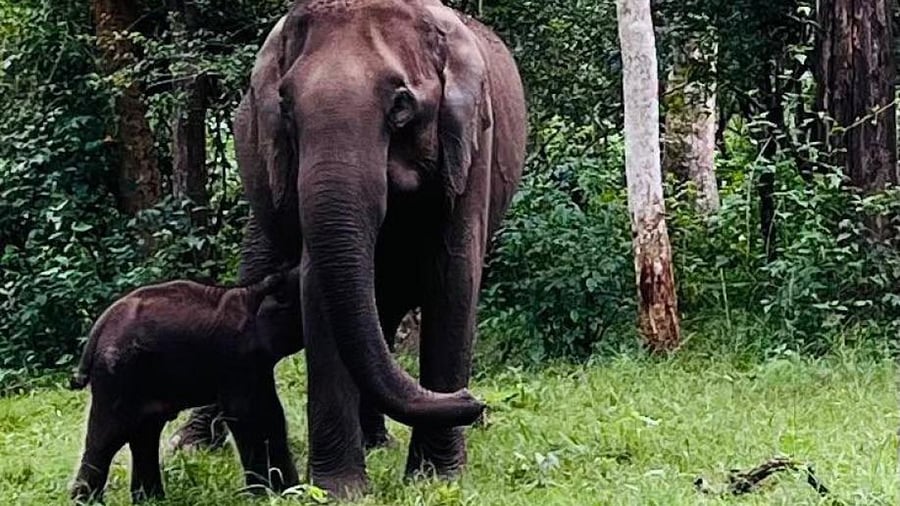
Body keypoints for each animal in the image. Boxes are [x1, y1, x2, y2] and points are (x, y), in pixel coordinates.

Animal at [69, 269, 302, 503]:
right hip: (117, 373)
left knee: (144, 431)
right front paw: (270, 494)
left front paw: (288, 491)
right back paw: (87, 501)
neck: (255, 292)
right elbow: (248, 413)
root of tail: (99, 327)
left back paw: (152, 500)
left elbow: (268, 411)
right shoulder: (237, 359)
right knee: (109, 437)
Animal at [173, 0, 526, 498]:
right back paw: (190, 446)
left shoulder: (473, 146)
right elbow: (317, 286)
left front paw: (436, 479)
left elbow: (453, 278)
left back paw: (377, 442)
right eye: (284, 106)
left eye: (401, 105)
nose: (473, 401)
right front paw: (340, 491)